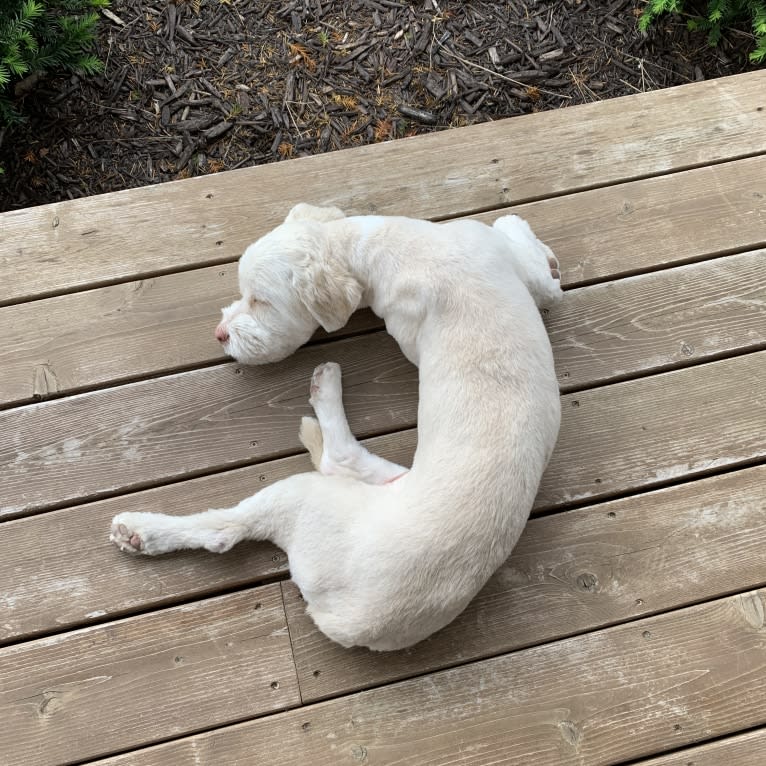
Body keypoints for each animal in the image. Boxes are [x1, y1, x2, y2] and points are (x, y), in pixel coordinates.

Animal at [109, 206, 564, 656]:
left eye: (261, 300)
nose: (220, 334)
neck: (373, 246)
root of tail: (353, 624)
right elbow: (542, 277)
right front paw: (534, 243)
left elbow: (539, 273)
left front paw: (523, 233)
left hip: (304, 496)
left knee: (232, 525)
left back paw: (140, 530)